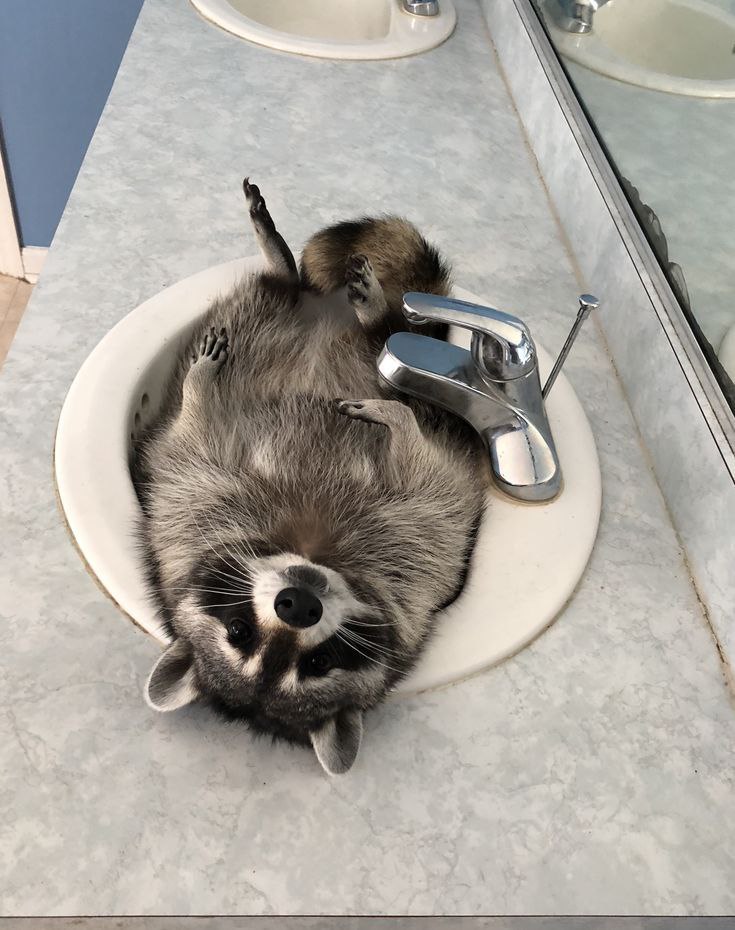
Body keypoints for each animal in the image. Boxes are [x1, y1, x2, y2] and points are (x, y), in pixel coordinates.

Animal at [133, 180, 486, 774]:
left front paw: (397, 419)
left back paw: (350, 301)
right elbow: (192, 430)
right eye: (239, 634)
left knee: (369, 328)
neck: (306, 547)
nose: (298, 604)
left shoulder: (426, 558)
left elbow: (432, 482)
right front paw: (200, 386)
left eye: (319, 663)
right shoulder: (181, 503)